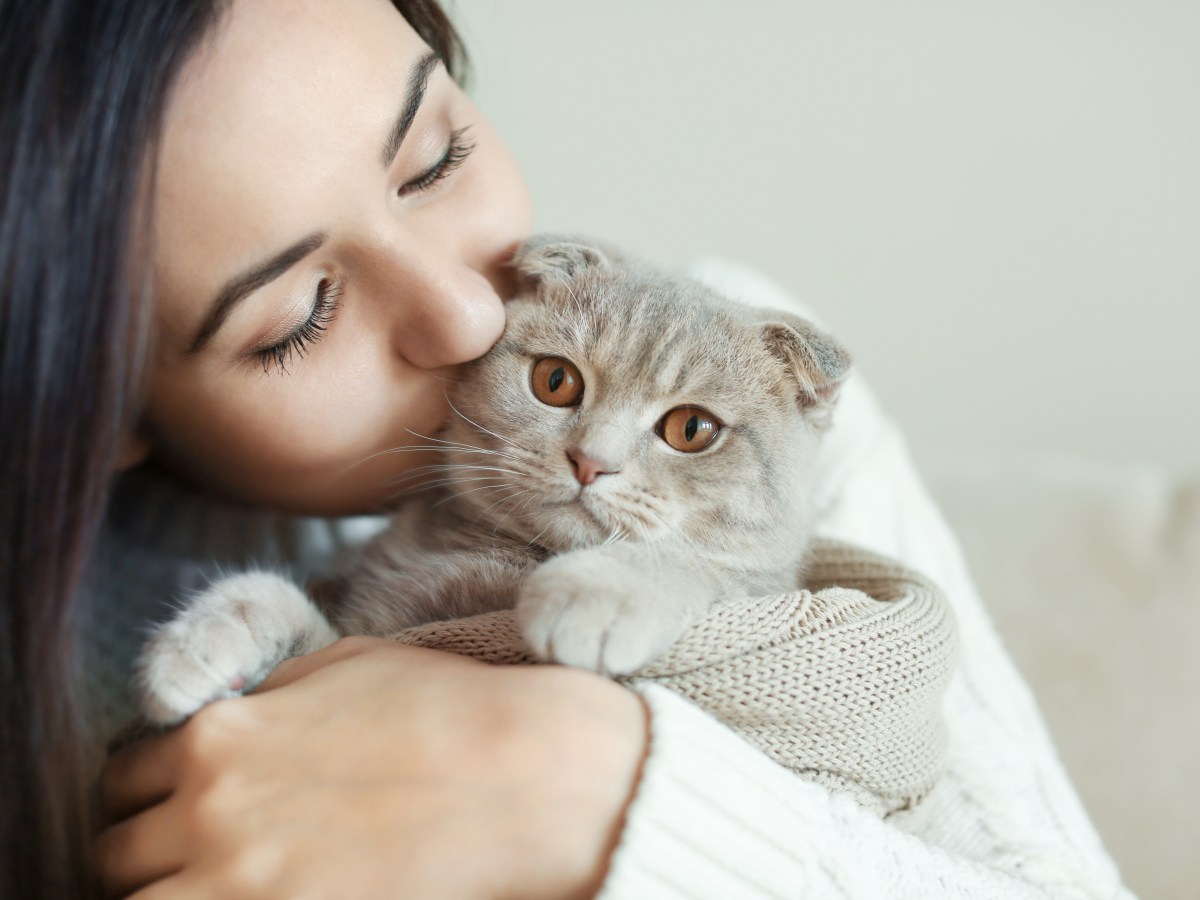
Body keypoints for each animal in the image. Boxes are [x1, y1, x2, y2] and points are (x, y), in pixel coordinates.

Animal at [138, 237, 854, 724]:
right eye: (556, 381)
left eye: (692, 429)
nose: (590, 460)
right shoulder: (357, 633)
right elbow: (265, 595)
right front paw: (195, 648)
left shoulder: (754, 588)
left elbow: (689, 565)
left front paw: (594, 594)